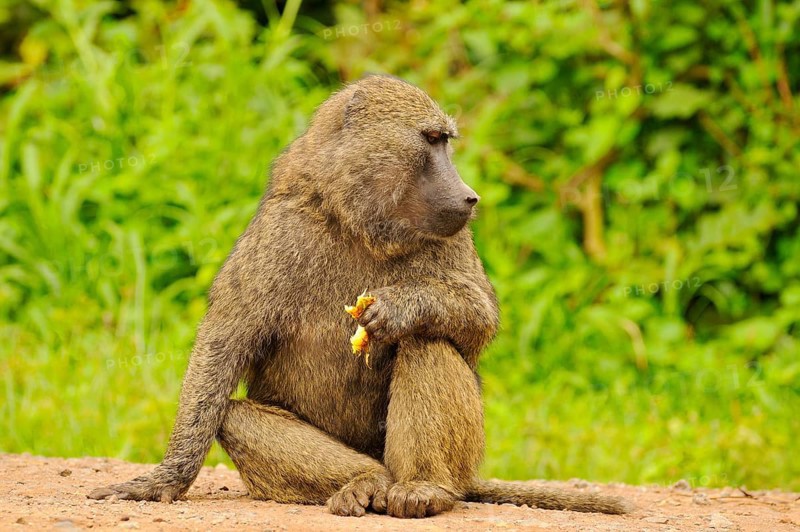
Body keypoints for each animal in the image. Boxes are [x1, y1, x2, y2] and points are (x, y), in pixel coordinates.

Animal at [88, 75, 631, 518]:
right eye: (432, 139)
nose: (469, 196)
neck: (359, 223)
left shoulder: (454, 236)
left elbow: (478, 316)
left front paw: (397, 308)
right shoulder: (279, 230)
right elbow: (223, 343)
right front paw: (167, 478)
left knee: (427, 343)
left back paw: (423, 487)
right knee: (236, 416)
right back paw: (363, 483)